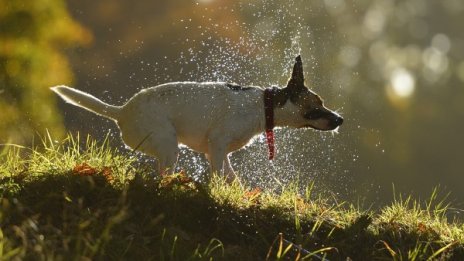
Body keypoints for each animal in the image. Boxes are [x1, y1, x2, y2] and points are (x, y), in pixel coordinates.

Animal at [52, 55, 342, 180]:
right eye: (318, 105)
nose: (340, 119)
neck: (264, 106)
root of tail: (122, 110)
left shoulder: (217, 151)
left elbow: (231, 177)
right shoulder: (217, 144)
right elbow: (217, 176)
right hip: (168, 144)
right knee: (162, 176)